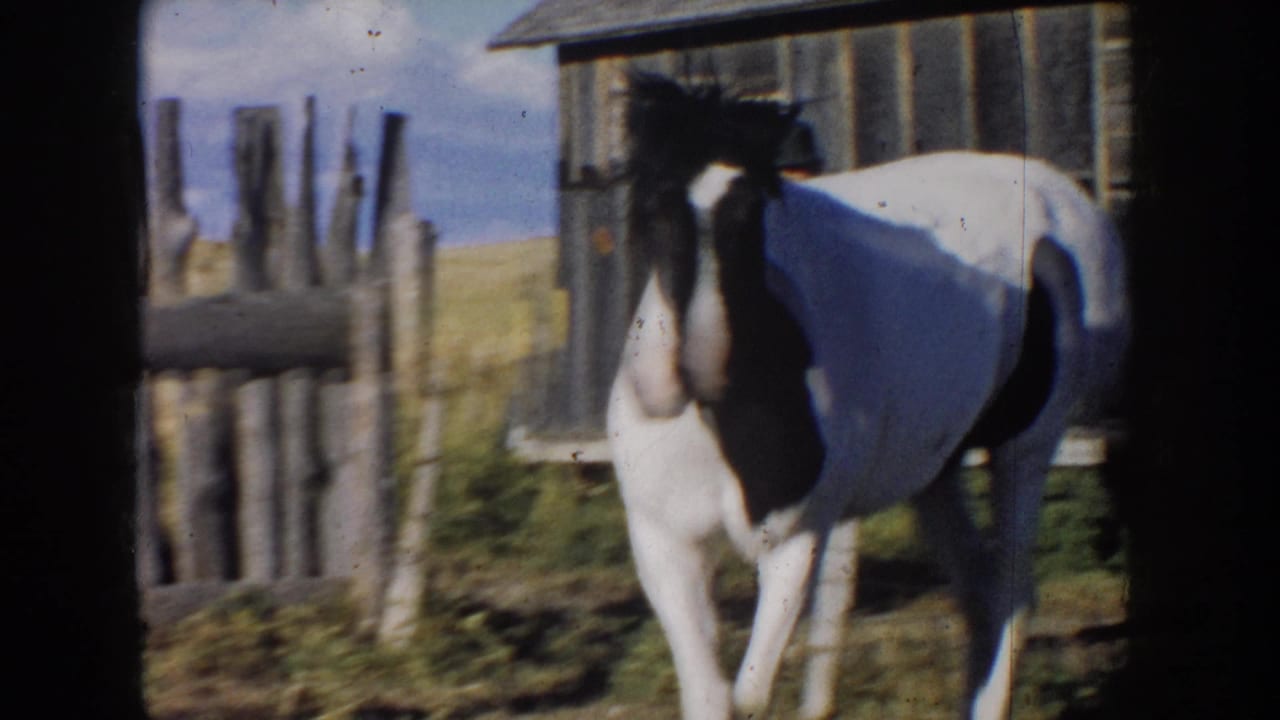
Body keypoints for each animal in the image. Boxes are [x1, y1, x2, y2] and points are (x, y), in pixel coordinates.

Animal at [605, 73, 1129, 720]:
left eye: (752, 208)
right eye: (652, 202)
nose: (688, 373)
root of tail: (1073, 204)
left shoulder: (797, 543)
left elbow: (750, 695)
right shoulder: (665, 550)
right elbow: (712, 695)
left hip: (1026, 448)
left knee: (1011, 595)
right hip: (937, 470)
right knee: (980, 593)